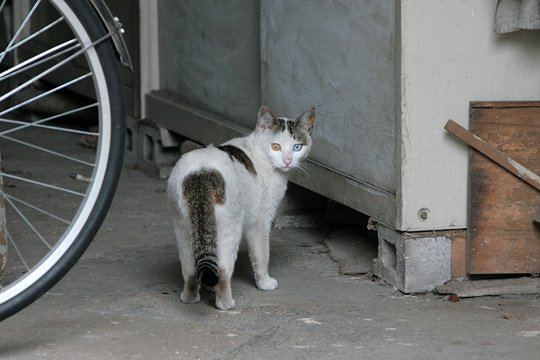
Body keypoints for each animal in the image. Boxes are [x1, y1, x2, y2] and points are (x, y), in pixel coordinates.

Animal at [167, 105, 314, 310]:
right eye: (275, 146)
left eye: (297, 147)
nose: (287, 160)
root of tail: (201, 172)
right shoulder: (260, 220)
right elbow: (261, 254)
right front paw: (265, 283)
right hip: (230, 228)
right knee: (222, 270)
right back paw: (227, 304)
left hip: (183, 226)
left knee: (190, 269)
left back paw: (189, 298)